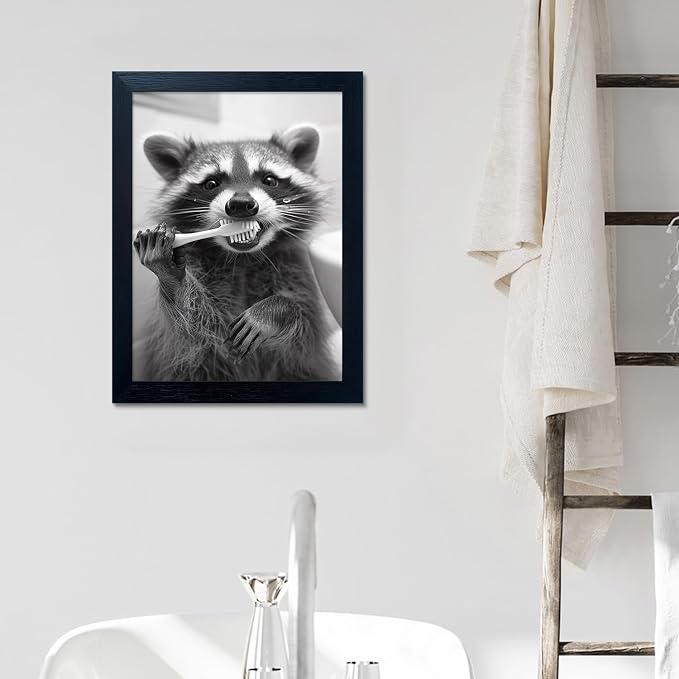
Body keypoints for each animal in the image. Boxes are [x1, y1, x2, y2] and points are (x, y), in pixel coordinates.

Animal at [134, 125, 338, 382]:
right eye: (211, 183)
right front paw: (173, 279)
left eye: (269, 179)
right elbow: (197, 335)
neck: (243, 258)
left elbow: (303, 336)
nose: (241, 204)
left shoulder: (296, 272)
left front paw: (276, 310)